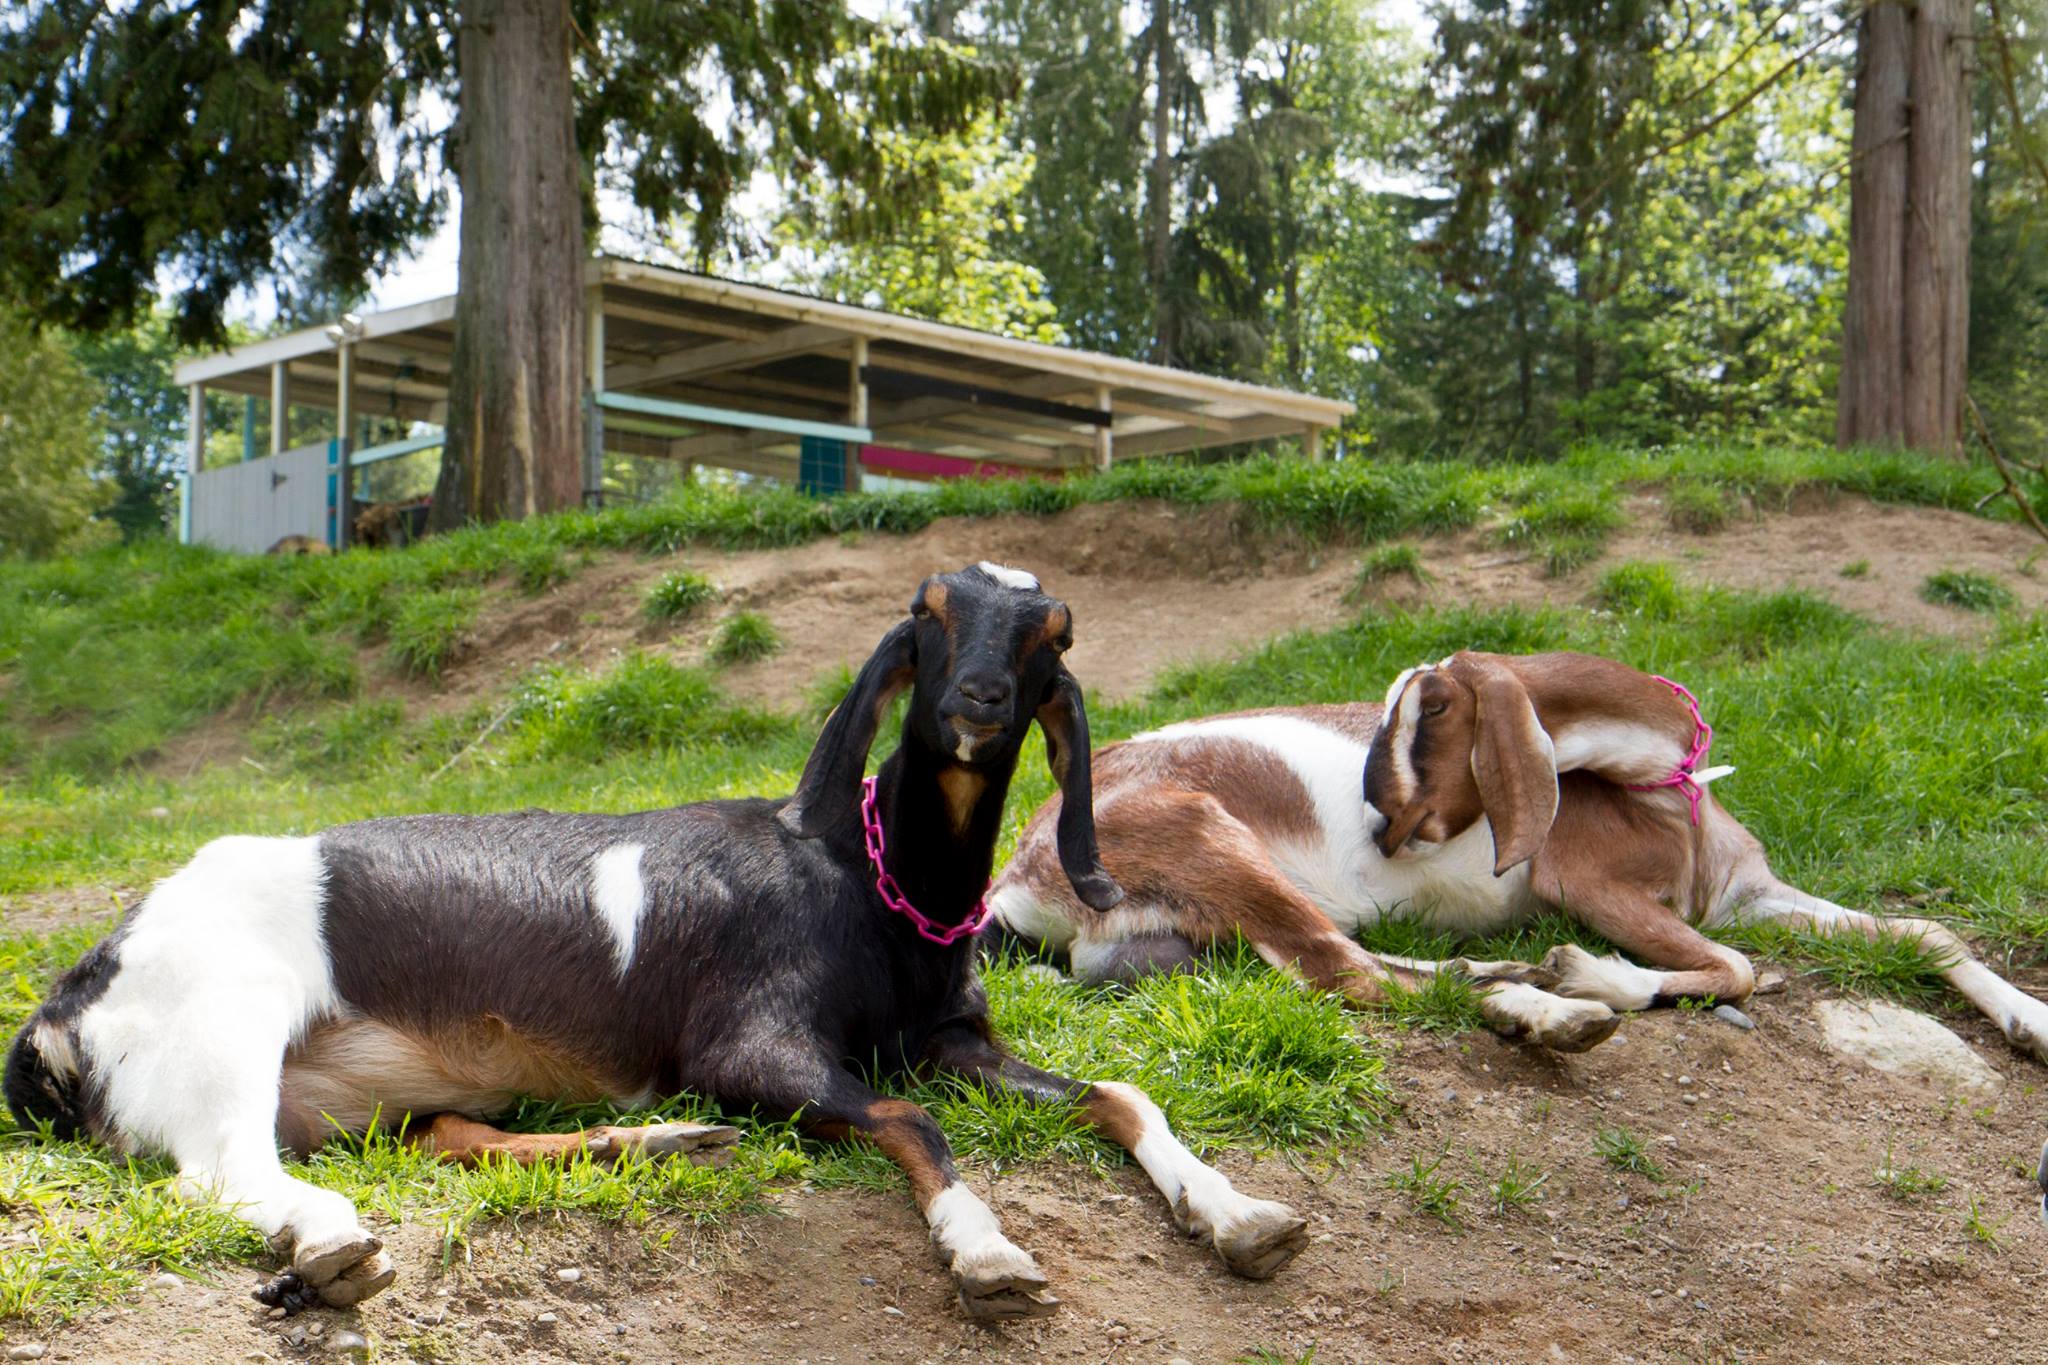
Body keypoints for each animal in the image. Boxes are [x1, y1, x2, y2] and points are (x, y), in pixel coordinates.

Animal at [4, 564, 1310, 1326]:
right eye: (930, 616)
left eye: (1054, 633)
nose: (981, 703)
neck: (863, 888)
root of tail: (68, 1003)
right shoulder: (753, 1049)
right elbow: (908, 1120)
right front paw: (984, 1252)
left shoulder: (950, 1041)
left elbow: (1119, 1091)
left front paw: (1240, 1215)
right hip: (226, 1038)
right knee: (227, 1171)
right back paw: (333, 1247)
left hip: (368, 1090)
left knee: (448, 1136)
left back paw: (664, 1140)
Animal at [987, 650, 2048, 1055]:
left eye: (1420, 725)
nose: (1377, 827)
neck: (1665, 791)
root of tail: (1016, 881)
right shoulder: (1595, 882)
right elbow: (1736, 967)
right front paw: (1596, 968)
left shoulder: (1751, 891)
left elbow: (1923, 928)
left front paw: (2028, 1018)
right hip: (1211, 838)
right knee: (1348, 971)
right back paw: (1552, 1002)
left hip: (1190, 929)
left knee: (1352, 959)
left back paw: (1517, 978)